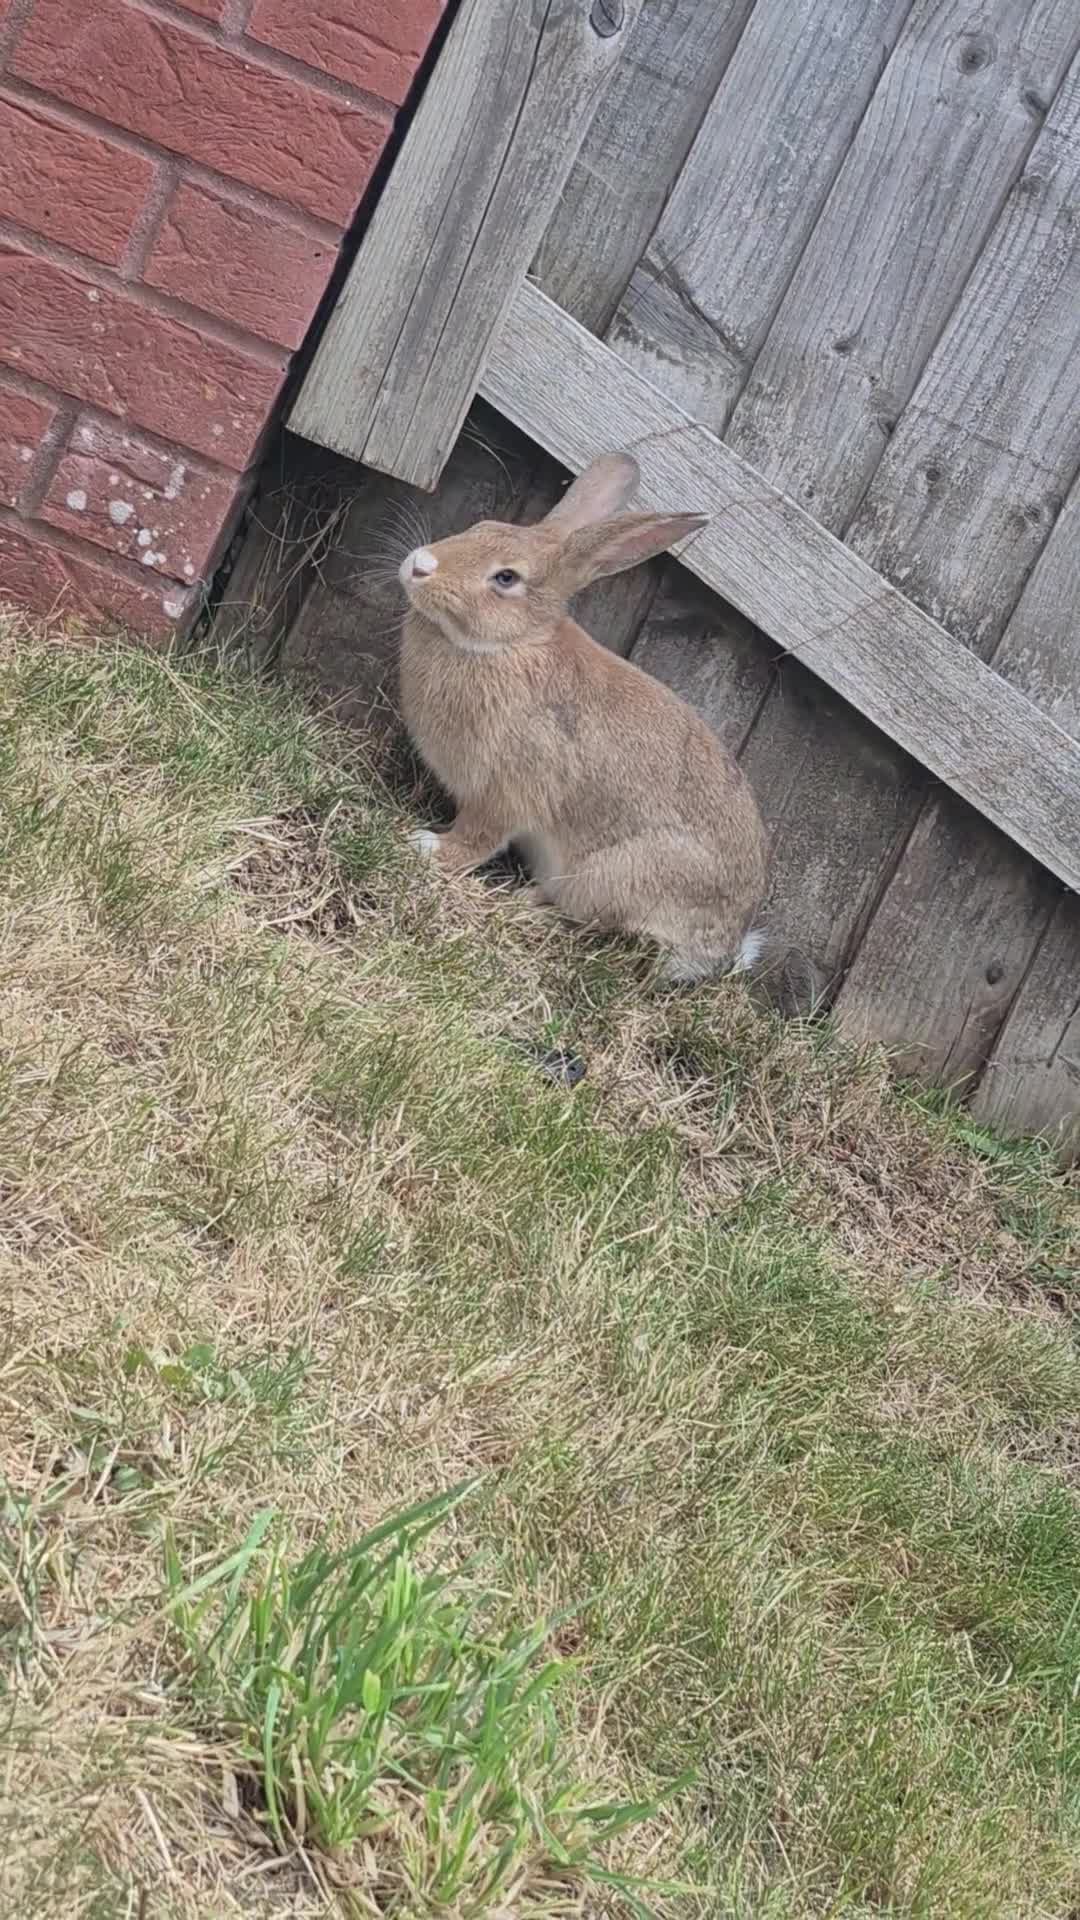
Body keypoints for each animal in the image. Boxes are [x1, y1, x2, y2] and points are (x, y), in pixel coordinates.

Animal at [397, 451, 768, 983]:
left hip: (614, 875)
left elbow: (479, 837)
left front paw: (427, 847)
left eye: (506, 578)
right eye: (479, 527)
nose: (419, 565)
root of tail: (723, 948)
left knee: (593, 923)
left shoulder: (512, 788)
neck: (512, 645)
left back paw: (526, 902)